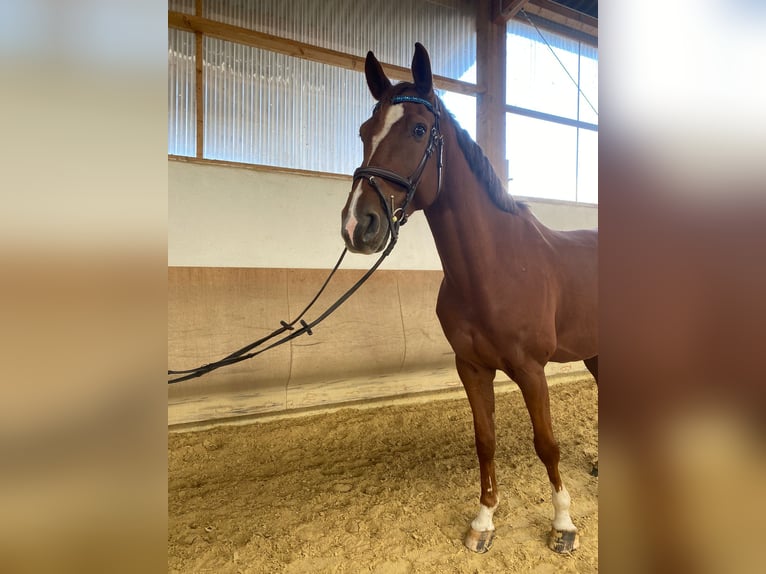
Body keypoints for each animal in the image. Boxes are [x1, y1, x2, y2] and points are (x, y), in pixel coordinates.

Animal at [342, 42, 600, 556]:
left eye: (419, 130)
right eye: (364, 132)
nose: (358, 225)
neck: (495, 267)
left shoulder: (531, 370)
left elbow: (547, 444)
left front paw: (563, 525)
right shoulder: (472, 368)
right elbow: (485, 441)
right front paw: (483, 522)